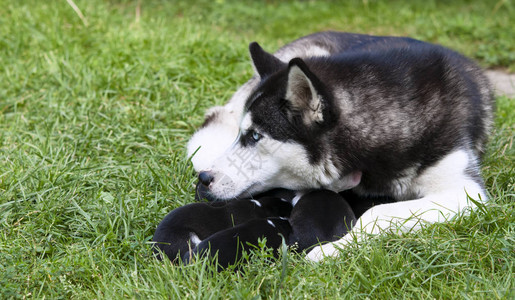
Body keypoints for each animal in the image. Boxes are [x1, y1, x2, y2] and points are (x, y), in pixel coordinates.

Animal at [188, 32, 492, 262]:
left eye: (254, 136)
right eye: (245, 134)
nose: (205, 178)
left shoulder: (465, 192)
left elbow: (378, 211)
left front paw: (335, 248)